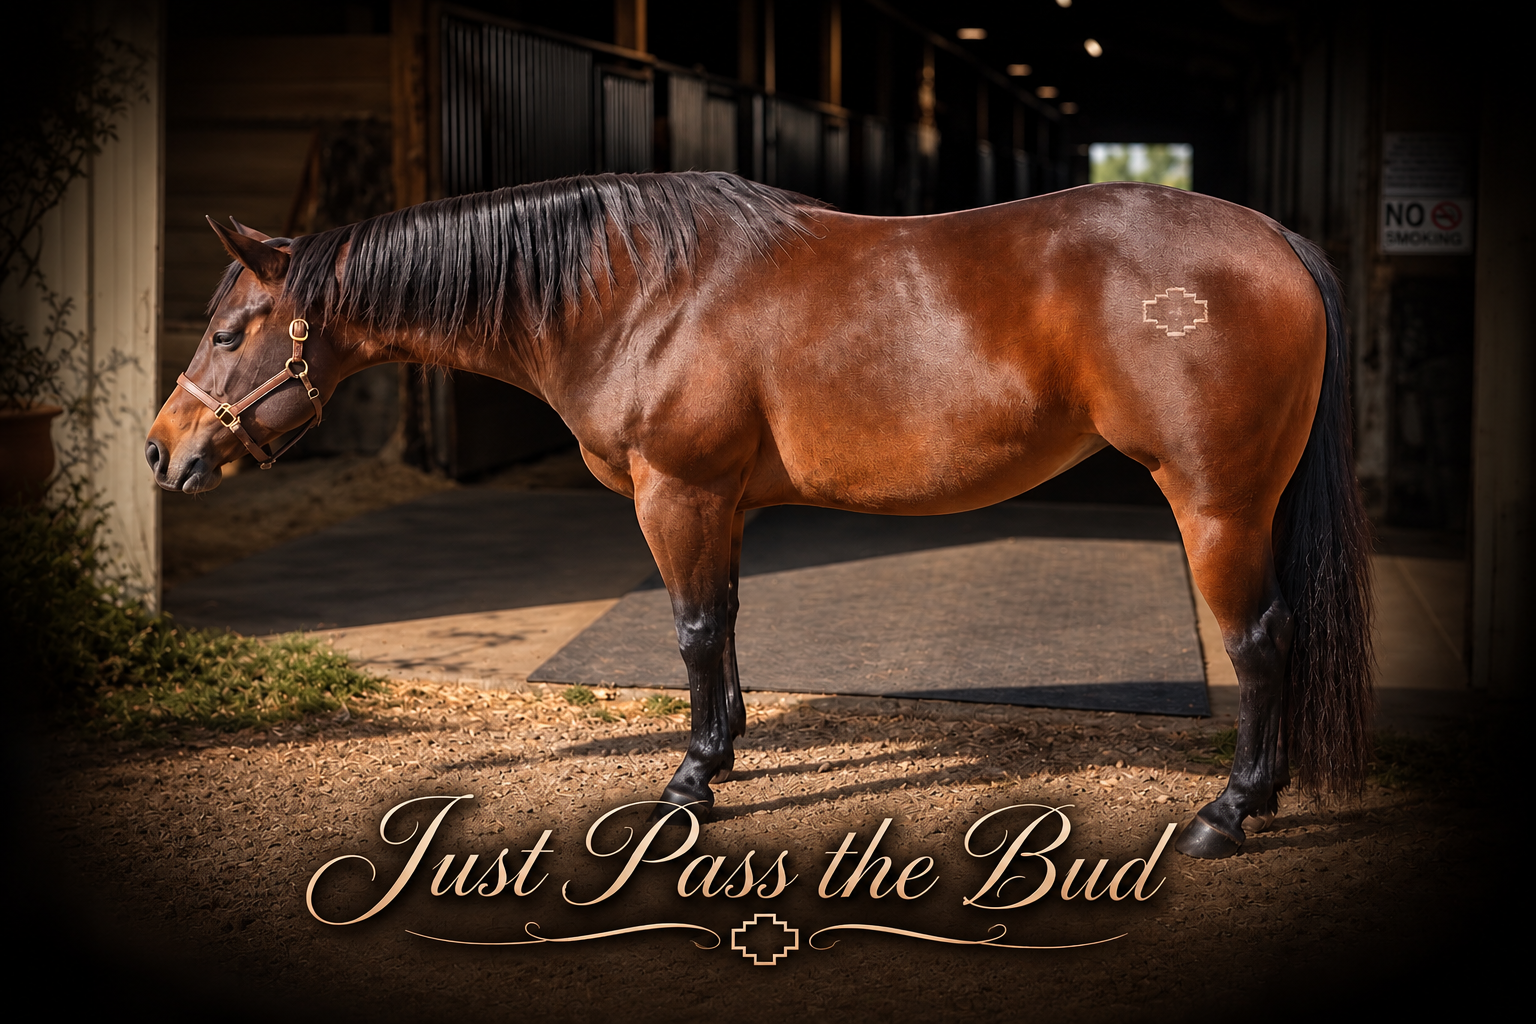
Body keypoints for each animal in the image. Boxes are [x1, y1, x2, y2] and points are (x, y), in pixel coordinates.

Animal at [146, 171, 1374, 859]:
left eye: (232, 328)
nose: (163, 451)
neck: (633, 289)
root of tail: (1274, 241)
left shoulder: (676, 492)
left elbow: (692, 632)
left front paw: (687, 785)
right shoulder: (719, 502)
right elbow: (726, 628)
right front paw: (724, 754)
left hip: (1217, 505)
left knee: (1259, 642)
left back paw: (1227, 815)